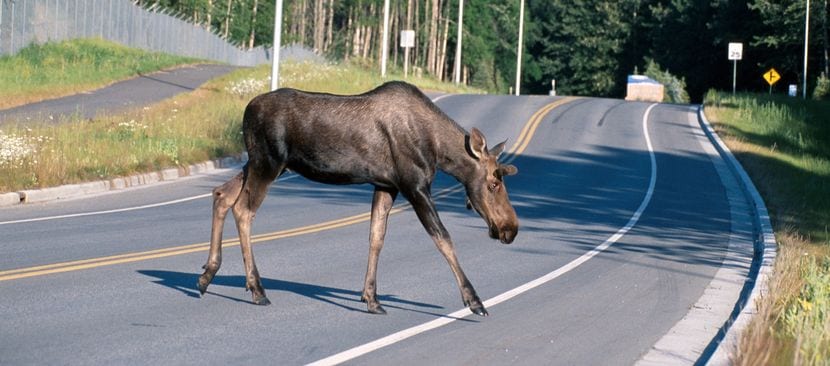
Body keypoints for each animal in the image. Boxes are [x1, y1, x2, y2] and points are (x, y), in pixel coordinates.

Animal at [197, 81, 516, 316]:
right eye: (493, 183)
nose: (510, 229)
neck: (438, 150)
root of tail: (246, 110)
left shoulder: (387, 186)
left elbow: (376, 237)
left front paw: (372, 299)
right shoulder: (414, 186)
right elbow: (443, 239)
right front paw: (475, 301)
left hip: (258, 163)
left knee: (222, 194)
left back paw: (207, 275)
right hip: (268, 162)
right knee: (243, 210)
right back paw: (257, 290)